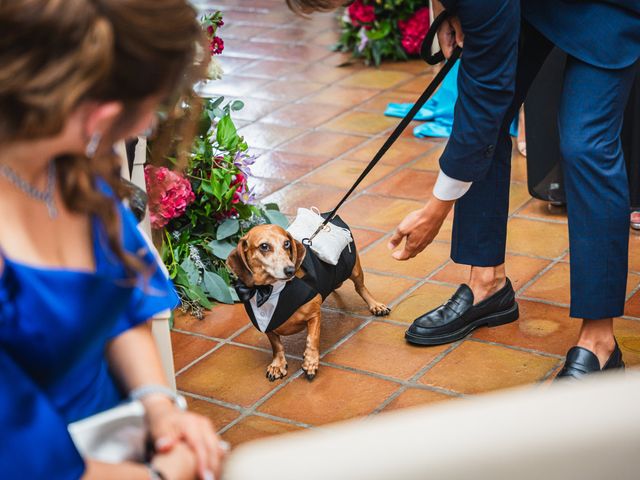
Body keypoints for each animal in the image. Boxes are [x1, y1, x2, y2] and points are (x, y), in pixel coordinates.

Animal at [229, 222, 390, 382]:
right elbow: (276, 345)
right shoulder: (267, 326)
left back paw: (376, 305)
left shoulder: (314, 315)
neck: (270, 291)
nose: (290, 270)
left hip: (353, 270)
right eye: (264, 246)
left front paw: (310, 361)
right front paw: (277, 364)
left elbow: (312, 339)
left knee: (360, 287)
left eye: (287, 243)